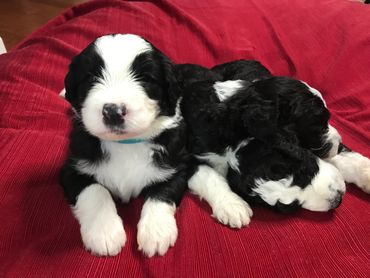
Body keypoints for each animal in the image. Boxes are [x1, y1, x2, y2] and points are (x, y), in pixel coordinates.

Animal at [59, 33, 192, 258]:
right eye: (90, 78)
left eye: (146, 79)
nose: (113, 111)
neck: (125, 144)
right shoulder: (72, 168)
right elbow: (95, 190)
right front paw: (103, 231)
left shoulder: (175, 167)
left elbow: (161, 193)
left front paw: (156, 232)